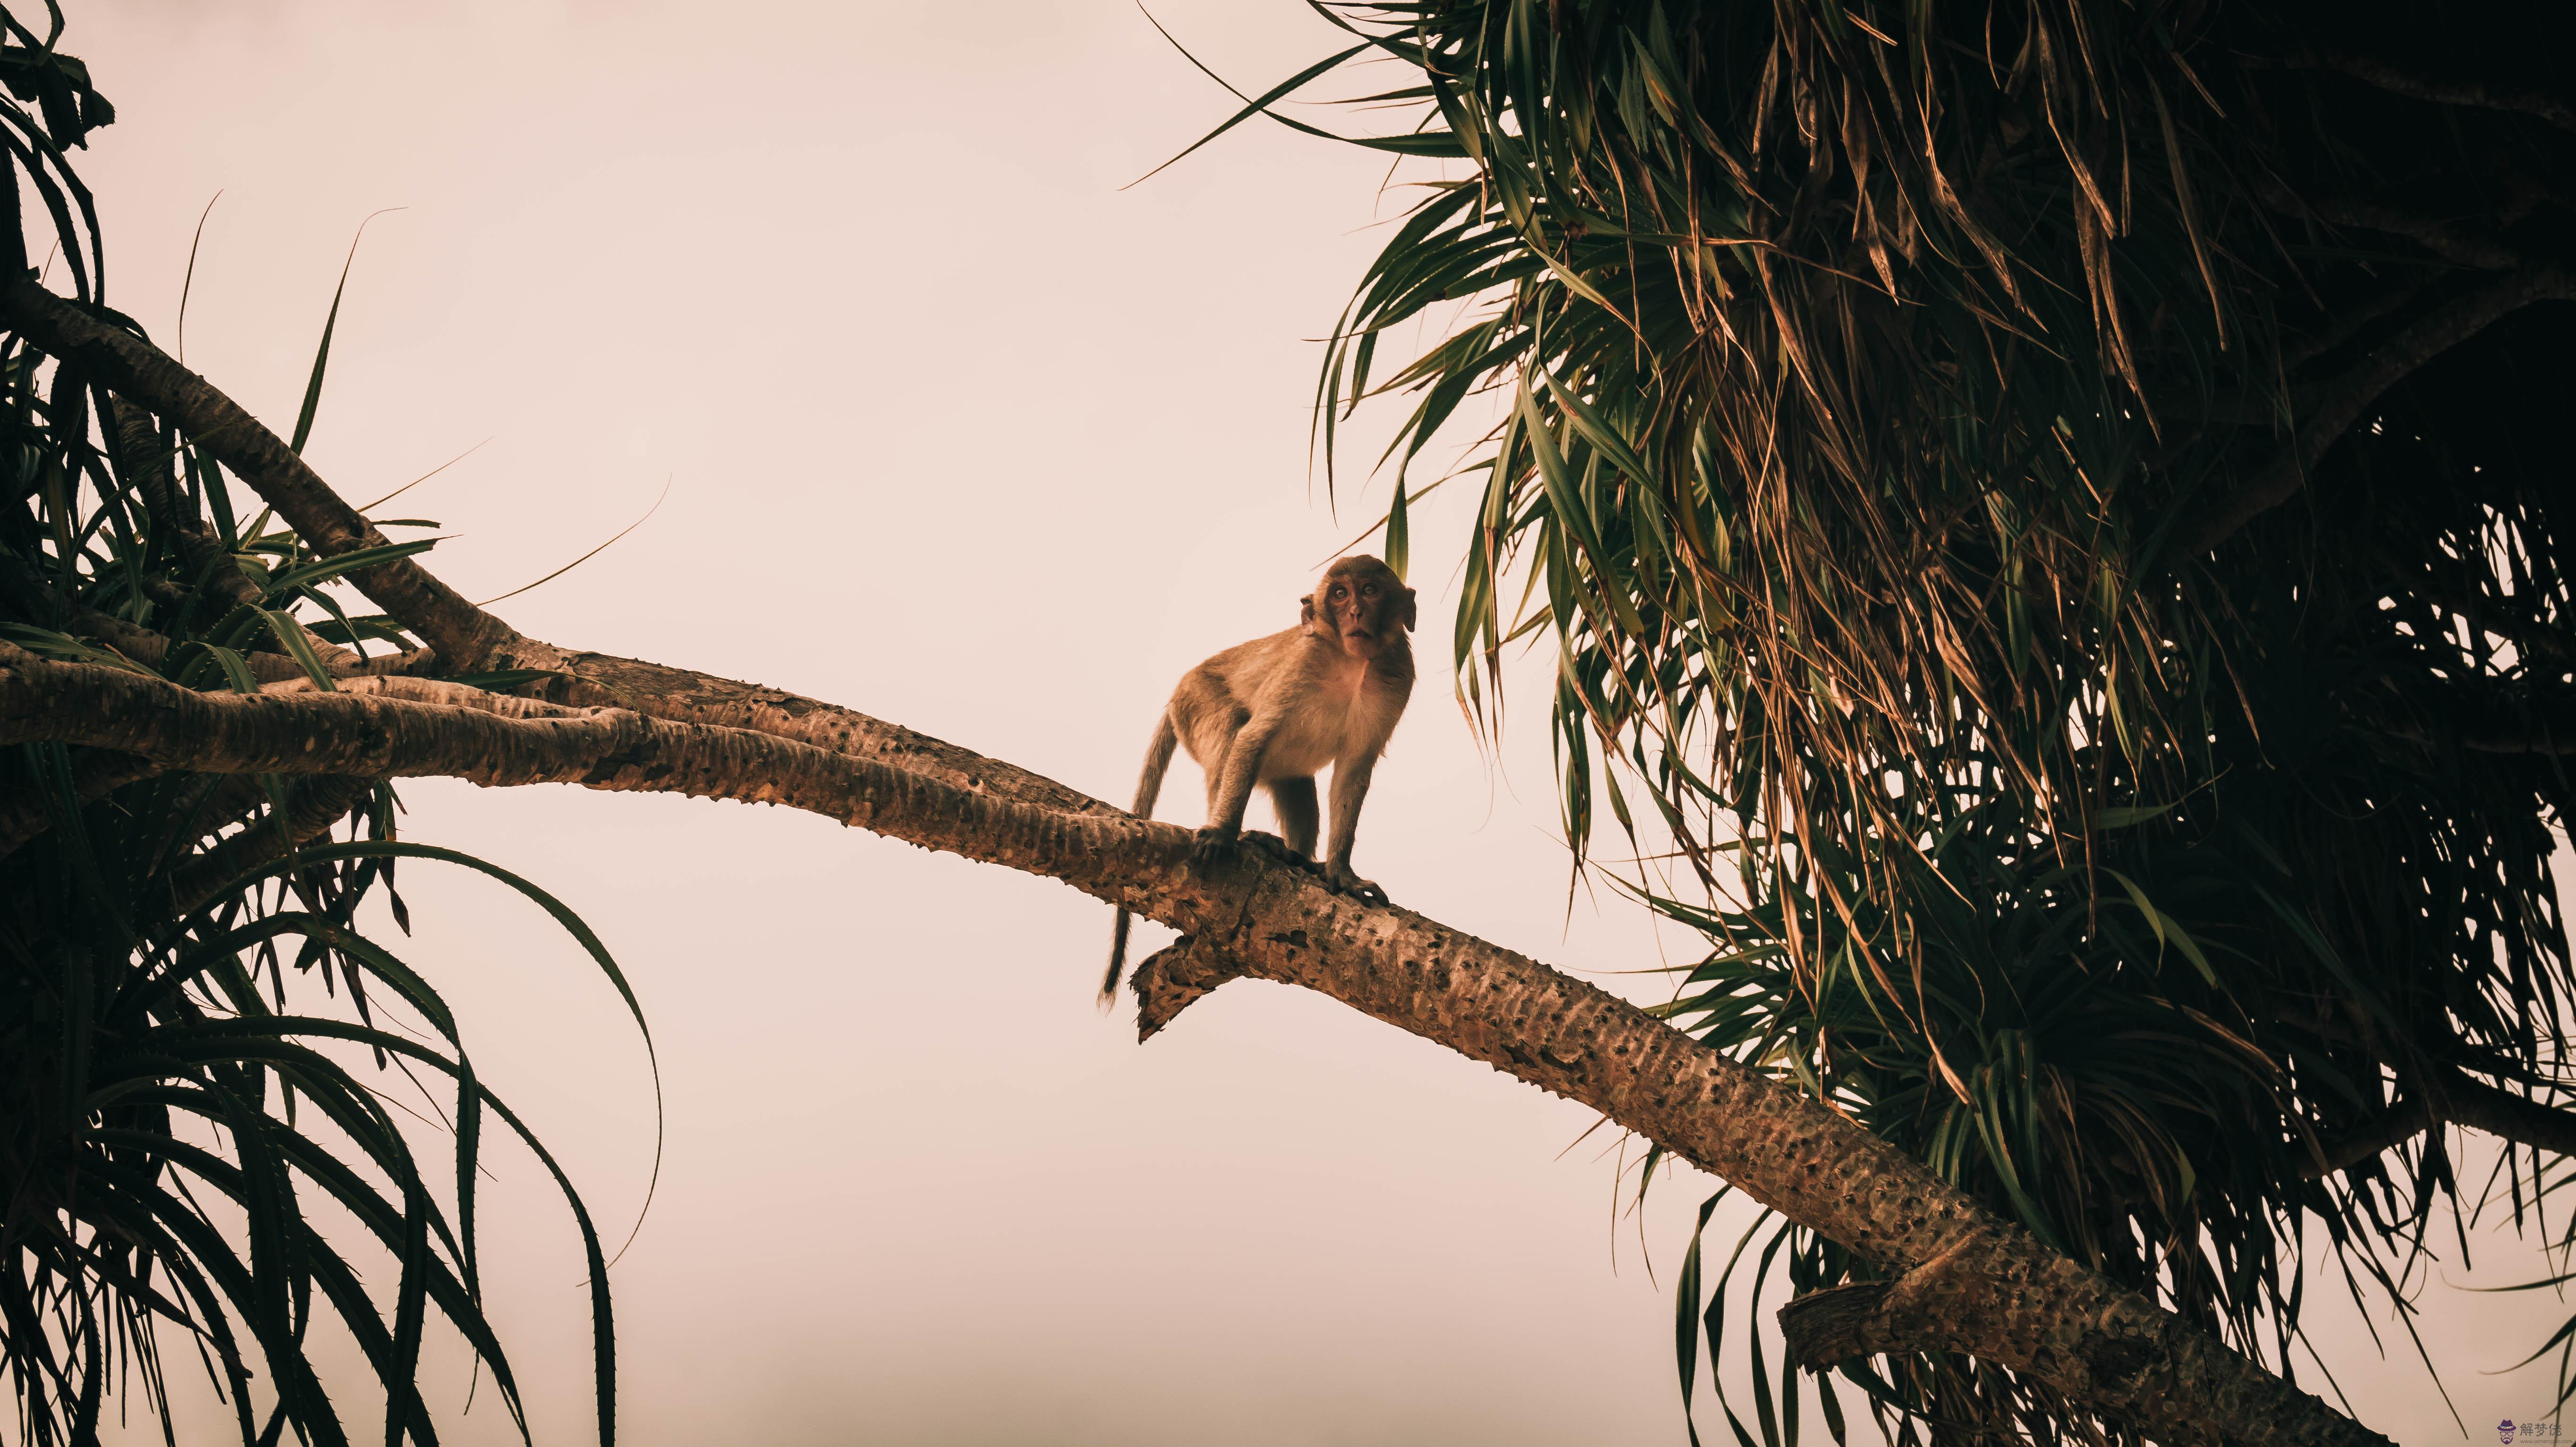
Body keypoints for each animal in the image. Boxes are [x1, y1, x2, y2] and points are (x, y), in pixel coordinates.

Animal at [1102, 545, 1432, 999]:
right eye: (1340, 594)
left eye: (1370, 591)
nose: (1356, 613)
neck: (1353, 665)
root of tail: (1174, 698)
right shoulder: (1302, 665)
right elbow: (1252, 738)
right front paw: (1223, 835)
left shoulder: (1397, 676)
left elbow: (1353, 771)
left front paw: (1341, 873)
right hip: (1194, 699)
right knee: (1230, 724)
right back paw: (1241, 836)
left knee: (1296, 784)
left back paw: (1295, 856)